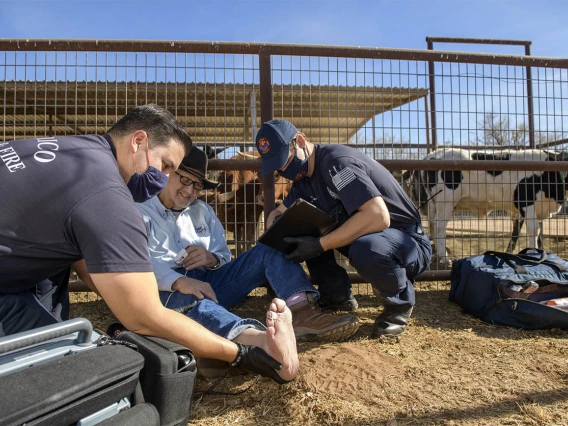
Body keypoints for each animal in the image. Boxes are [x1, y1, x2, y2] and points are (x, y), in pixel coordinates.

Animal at [404, 149, 568, 266]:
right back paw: (444, 258)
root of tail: (432, 155)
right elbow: (533, 230)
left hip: (434, 204)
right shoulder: (527, 204)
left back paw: (438, 255)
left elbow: (530, 233)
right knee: (439, 227)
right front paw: (533, 254)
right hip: (446, 202)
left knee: (432, 224)